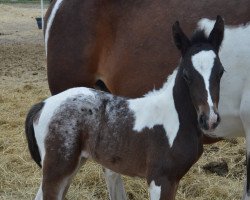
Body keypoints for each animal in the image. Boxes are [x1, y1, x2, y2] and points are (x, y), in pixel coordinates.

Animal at [25, 17, 225, 200]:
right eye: (186, 74)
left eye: (221, 72)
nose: (210, 119)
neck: (174, 119)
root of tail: (43, 104)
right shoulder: (160, 179)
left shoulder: (173, 180)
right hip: (57, 169)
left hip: (72, 165)